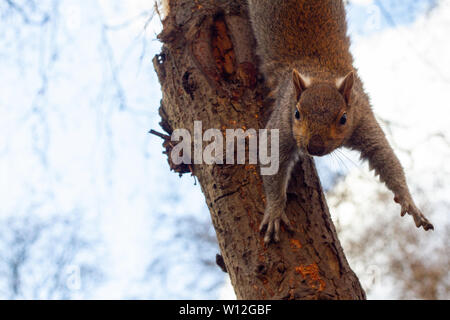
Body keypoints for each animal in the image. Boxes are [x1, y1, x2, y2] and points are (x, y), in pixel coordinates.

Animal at [248, 0, 434, 244]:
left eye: (344, 118)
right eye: (297, 113)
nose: (314, 147)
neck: (321, 75)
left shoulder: (362, 116)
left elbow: (382, 154)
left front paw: (408, 200)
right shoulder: (282, 120)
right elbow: (272, 156)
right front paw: (275, 210)